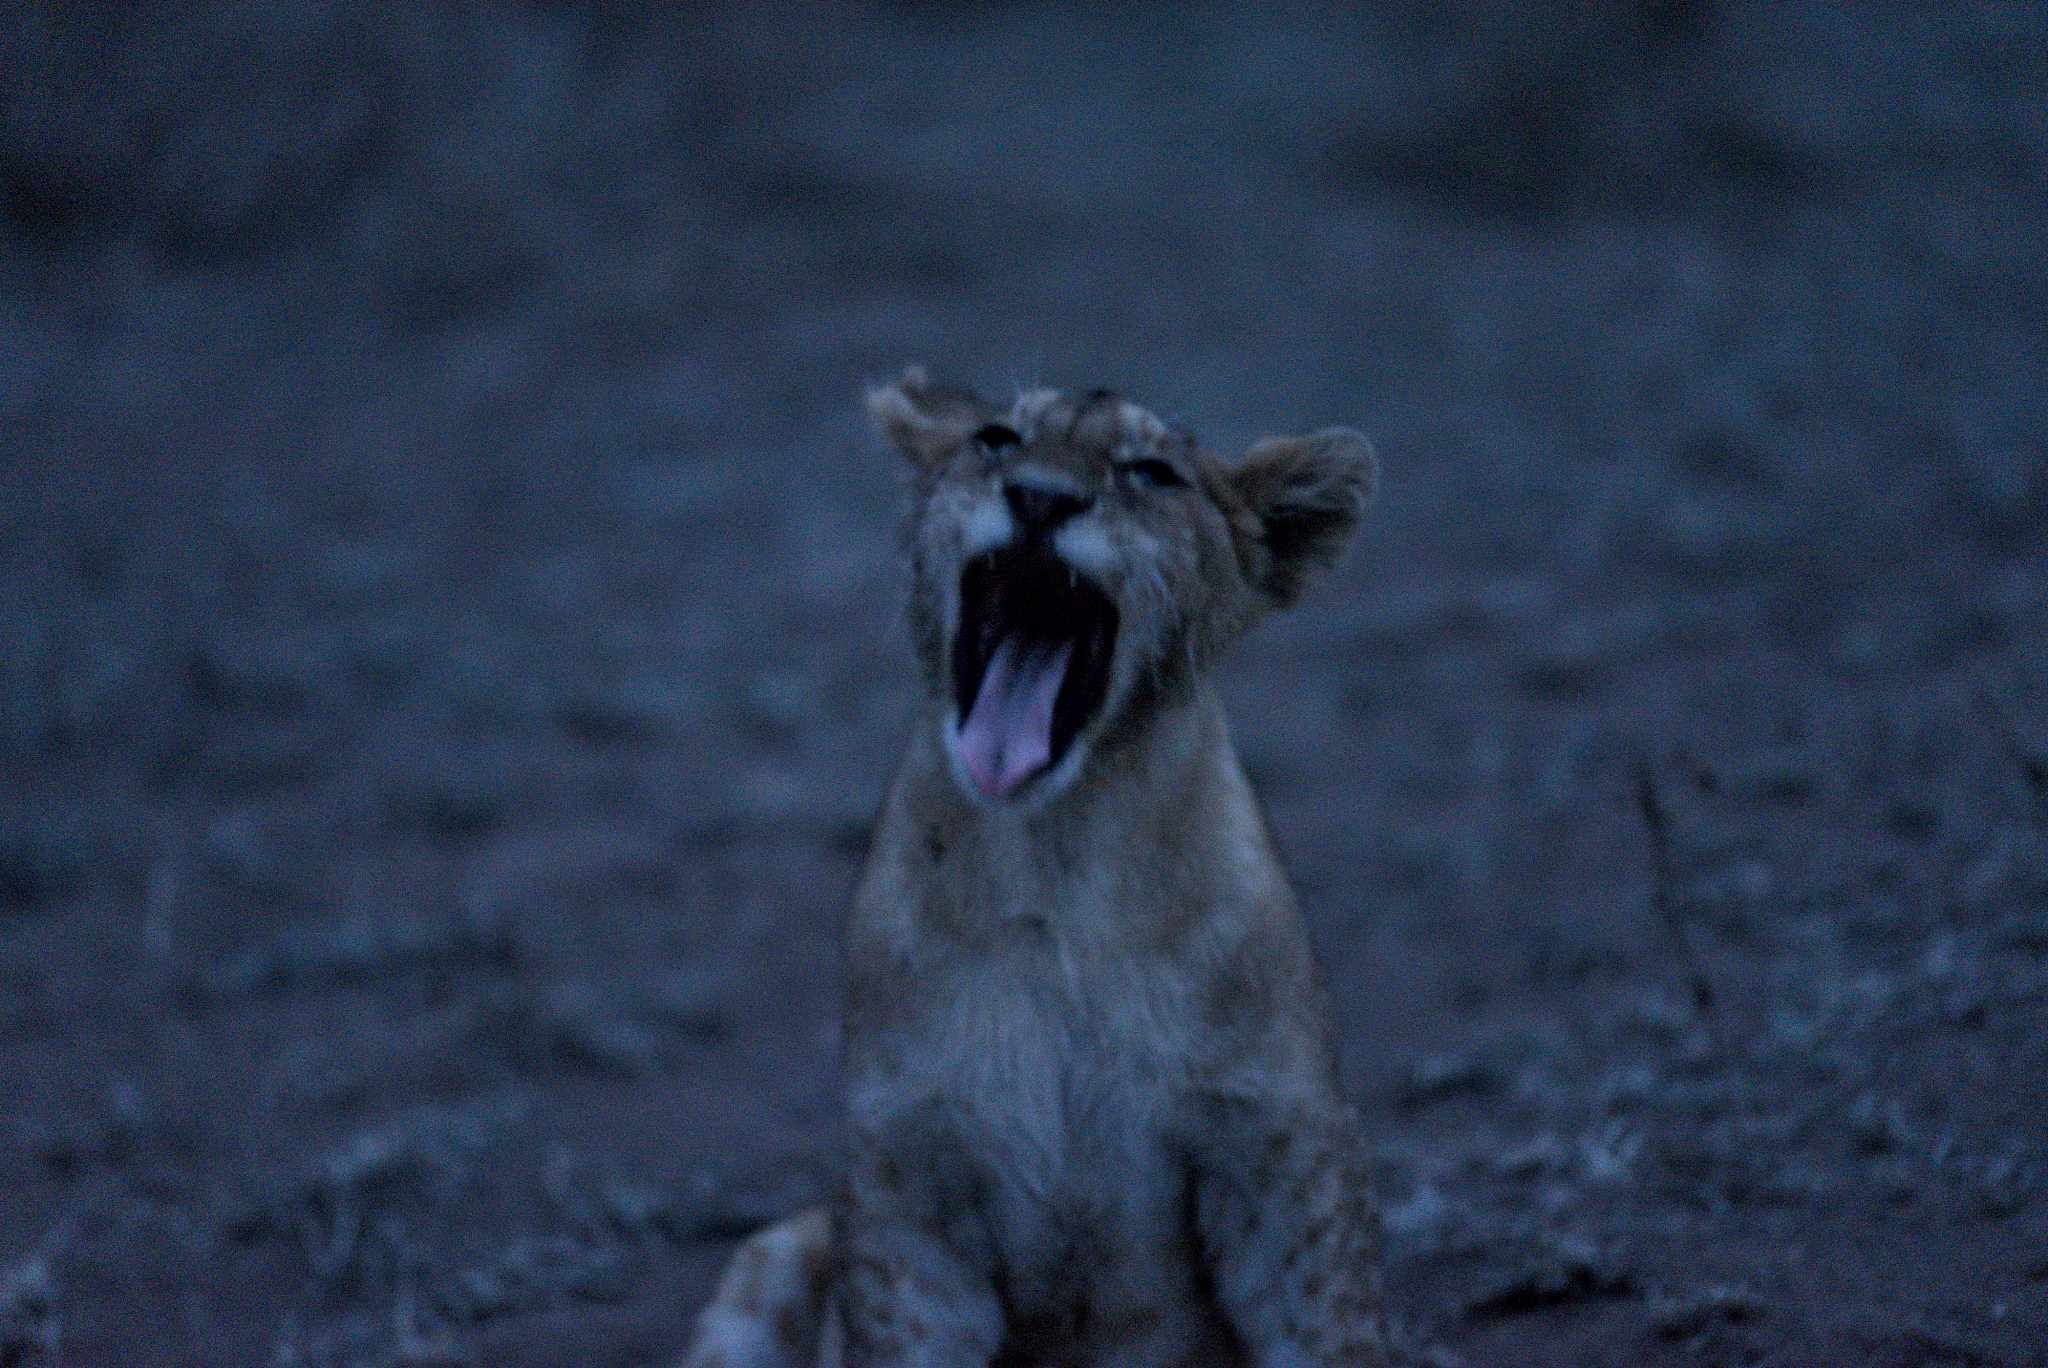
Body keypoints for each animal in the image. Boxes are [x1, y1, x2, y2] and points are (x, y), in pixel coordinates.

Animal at [683, 369, 1385, 1368]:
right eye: (996, 439)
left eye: (1152, 473)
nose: (1043, 498)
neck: (1059, 865)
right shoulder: (906, 1185)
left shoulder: (1283, 1157)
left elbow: (1331, 1329)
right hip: (778, 1252)